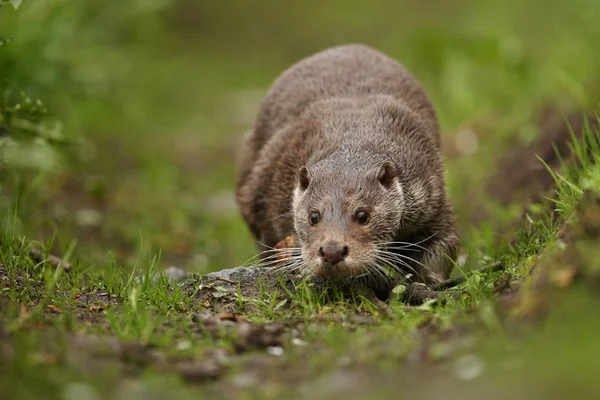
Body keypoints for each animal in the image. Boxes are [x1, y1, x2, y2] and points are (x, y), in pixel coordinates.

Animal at [234, 44, 460, 296]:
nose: (332, 250)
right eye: (313, 216)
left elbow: (441, 243)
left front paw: (430, 282)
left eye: (363, 215)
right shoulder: (266, 188)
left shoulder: (431, 192)